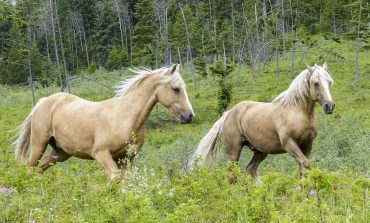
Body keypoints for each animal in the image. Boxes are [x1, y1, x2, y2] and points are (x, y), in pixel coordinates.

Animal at [13, 63, 195, 179]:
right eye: (176, 89)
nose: (189, 116)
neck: (125, 117)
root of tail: (42, 102)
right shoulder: (101, 154)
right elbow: (115, 180)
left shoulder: (127, 159)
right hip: (39, 144)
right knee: (30, 167)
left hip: (61, 152)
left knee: (40, 168)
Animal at [186, 62, 334, 183]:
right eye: (316, 83)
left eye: (329, 82)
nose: (330, 106)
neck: (297, 112)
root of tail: (229, 113)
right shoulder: (289, 144)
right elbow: (307, 164)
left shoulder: (307, 144)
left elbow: (303, 168)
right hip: (234, 150)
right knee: (232, 175)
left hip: (261, 150)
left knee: (250, 168)